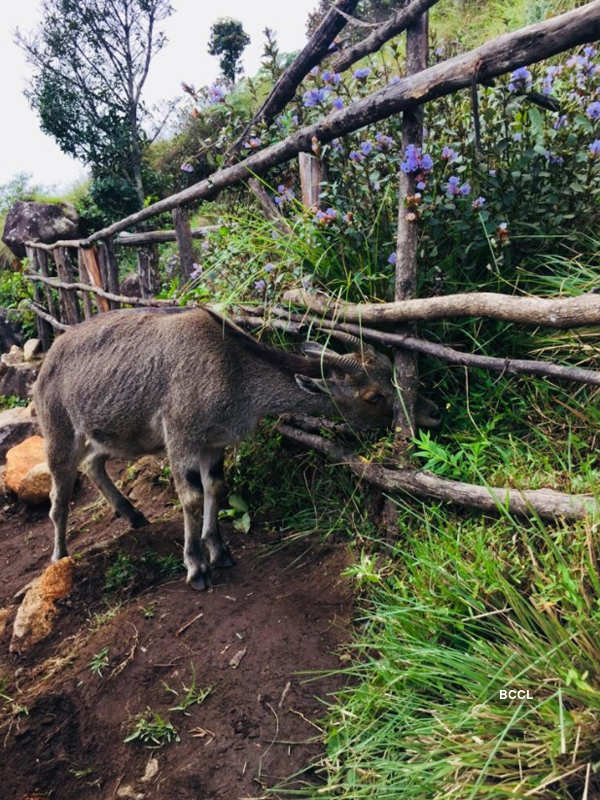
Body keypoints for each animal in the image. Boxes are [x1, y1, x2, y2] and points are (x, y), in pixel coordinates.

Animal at [36, 306, 398, 588]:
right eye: (373, 396)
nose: (398, 422)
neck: (232, 369)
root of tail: (48, 360)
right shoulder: (180, 435)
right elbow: (192, 498)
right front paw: (196, 567)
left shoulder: (213, 442)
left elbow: (216, 487)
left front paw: (220, 551)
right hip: (59, 431)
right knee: (58, 496)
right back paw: (59, 555)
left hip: (116, 436)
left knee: (92, 462)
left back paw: (134, 515)